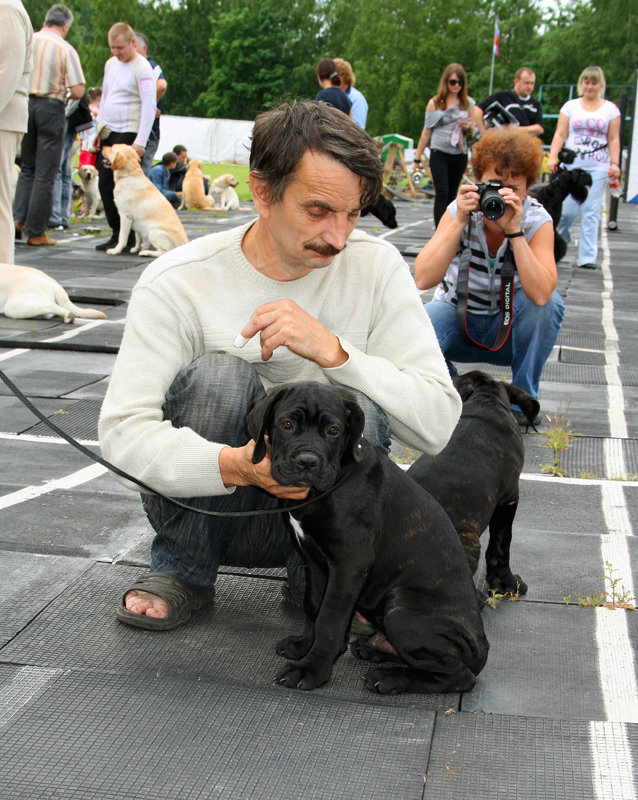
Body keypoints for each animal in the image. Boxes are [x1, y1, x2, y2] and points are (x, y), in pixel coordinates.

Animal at [248, 382, 488, 692]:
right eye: (287, 424)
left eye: (333, 430)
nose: (307, 462)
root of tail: (482, 649)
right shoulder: (316, 560)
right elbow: (314, 605)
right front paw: (303, 646)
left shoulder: (349, 564)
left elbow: (330, 617)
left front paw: (312, 669)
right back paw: (374, 649)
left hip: (401, 608)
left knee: (460, 676)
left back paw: (390, 678)